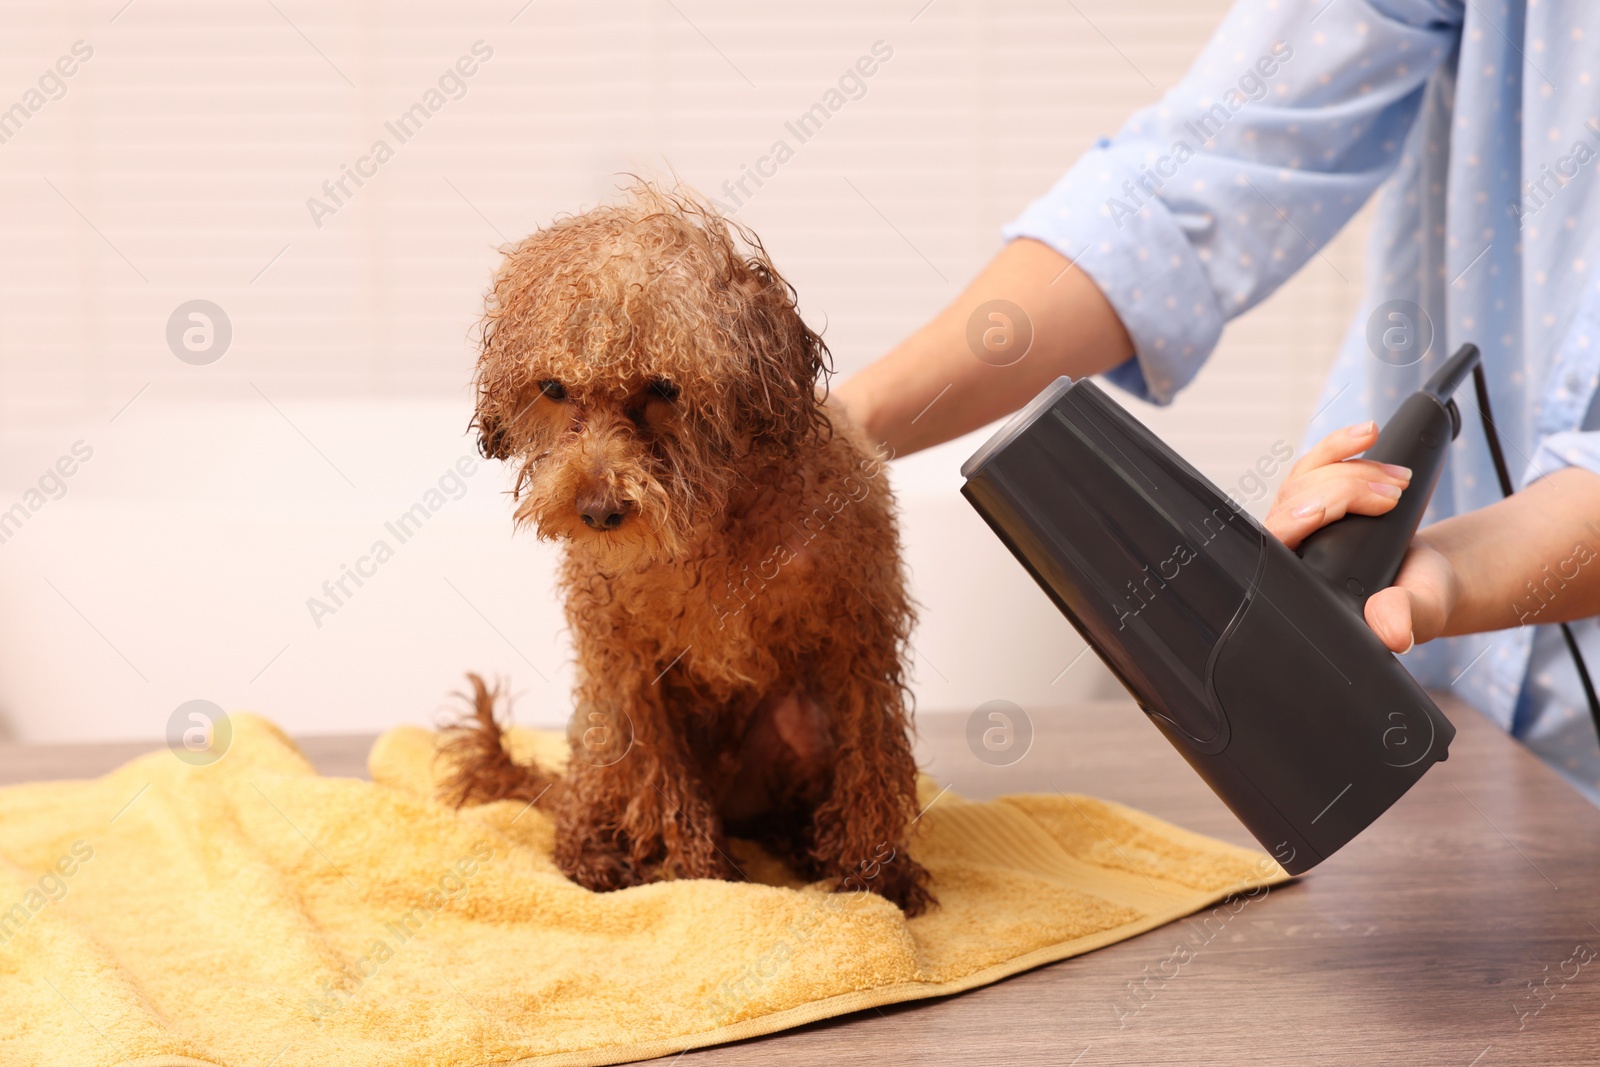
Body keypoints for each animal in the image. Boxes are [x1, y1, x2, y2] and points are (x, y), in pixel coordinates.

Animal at [441, 183, 934, 921]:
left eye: (664, 388)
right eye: (553, 389)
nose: (598, 511)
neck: (714, 524)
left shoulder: (860, 639)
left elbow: (871, 764)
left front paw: (878, 876)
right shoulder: (626, 664)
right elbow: (667, 785)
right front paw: (703, 881)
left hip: (799, 727)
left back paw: (804, 845)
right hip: (599, 723)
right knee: (584, 799)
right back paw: (596, 857)